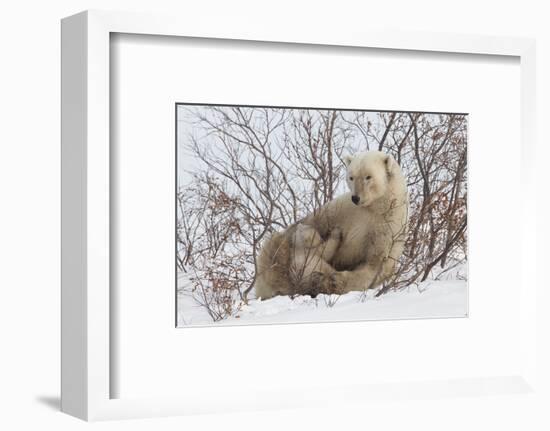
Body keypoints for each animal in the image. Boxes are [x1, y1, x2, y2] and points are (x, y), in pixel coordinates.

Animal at [256, 152, 410, 300]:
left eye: (368, 177)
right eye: (351, 177)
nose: (356, 198)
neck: (374, 207)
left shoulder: (386, 227)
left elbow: (373, 263)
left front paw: (337, 280)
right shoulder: (340, 210)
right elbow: (316, 224)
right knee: (275, 251)